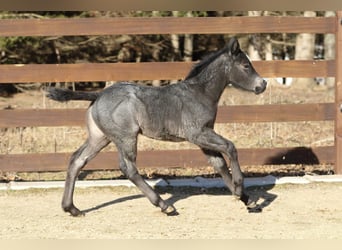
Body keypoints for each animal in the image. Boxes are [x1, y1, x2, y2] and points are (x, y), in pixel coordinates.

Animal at [47, 36, 268, 216]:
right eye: (245, 66)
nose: (262, 85)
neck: (199, 93)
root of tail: (98, 95)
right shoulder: (198, 133)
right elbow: (230, 148)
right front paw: (239, 189)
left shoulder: (203, 137)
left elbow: (219, 164)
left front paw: (248, 201)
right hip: (126, 137)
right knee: (128, 168)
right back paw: (164, 205)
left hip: (100, 138)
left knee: (77, 160)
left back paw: (72, 208)